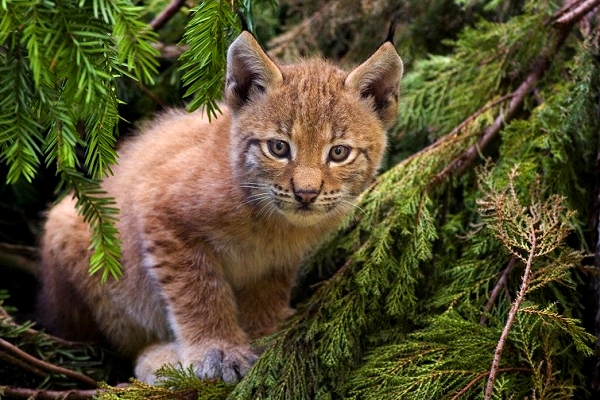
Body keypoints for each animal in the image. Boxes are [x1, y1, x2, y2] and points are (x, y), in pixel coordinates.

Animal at [41, 30, 404, 382]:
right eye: (278, 148)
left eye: (339, 152)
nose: (306, 193)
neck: (272, 220)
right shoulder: (158, 206)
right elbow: (199, 290)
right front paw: (218, 351)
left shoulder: (277, 259)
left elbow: (267, 290)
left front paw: (264, 332)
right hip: (76, 232)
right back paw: (160, 361)